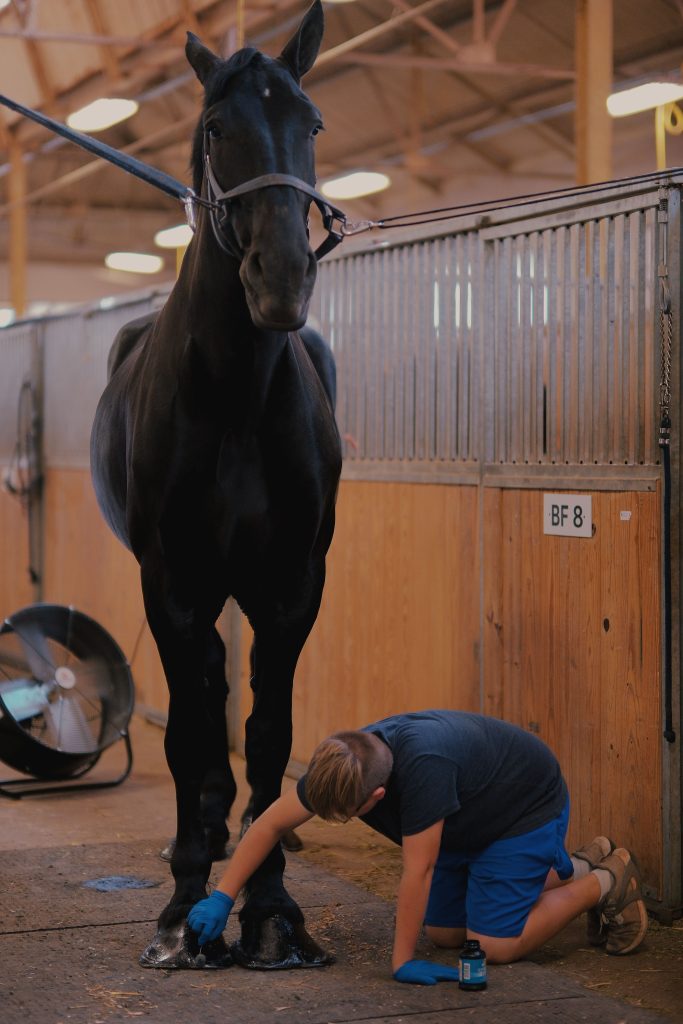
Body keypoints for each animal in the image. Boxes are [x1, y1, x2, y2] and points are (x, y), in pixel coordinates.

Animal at [90, 0, 342, 970]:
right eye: (213, 127)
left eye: (311, 122)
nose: (281, 279)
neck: (233, 393)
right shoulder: (172, 585)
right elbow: (196, 734)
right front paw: (181, 910)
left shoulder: (290, 587)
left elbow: (266, 737)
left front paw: (270, 911)